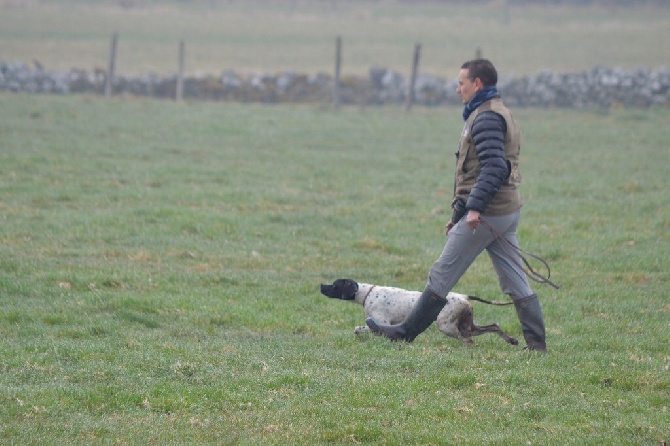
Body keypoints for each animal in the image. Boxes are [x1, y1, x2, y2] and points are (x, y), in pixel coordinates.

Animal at [320, 278, 520, 344]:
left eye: (335, 285)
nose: (321, 285)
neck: (368, 293)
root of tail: (463, 296)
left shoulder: (382, 323)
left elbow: (365, 328)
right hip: (468, 326)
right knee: (493, 326)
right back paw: (511, 340)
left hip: (447, 326)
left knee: (468, 341)